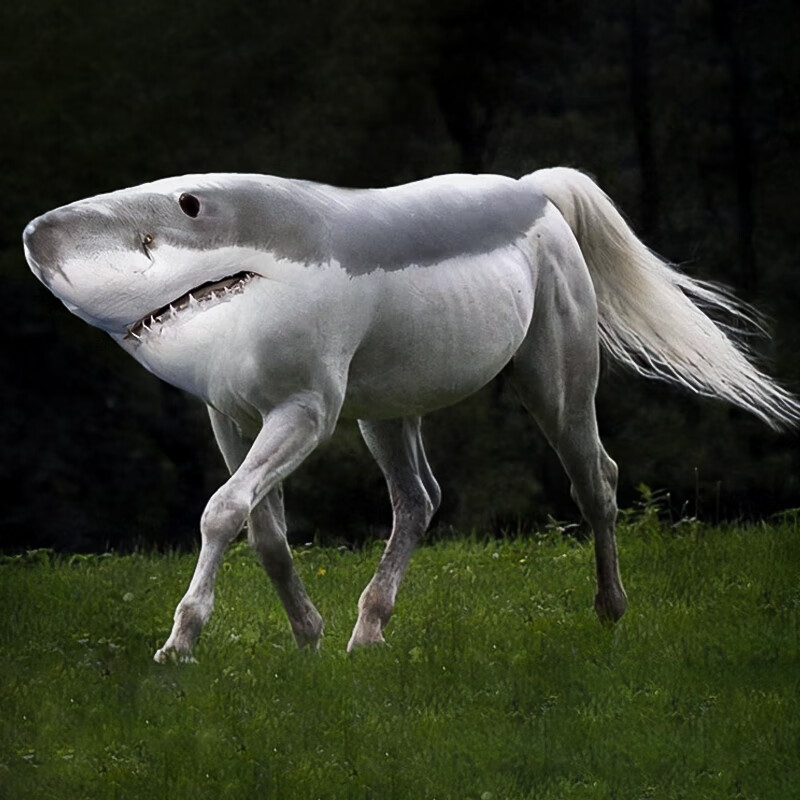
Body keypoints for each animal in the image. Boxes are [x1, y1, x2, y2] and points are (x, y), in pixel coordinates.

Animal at [23, 167, 798, 662]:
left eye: (188, 205)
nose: (38, 239)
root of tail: (534, 187)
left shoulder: (306, 410)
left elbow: (223, 510)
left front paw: (181, 642)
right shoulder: (231, 418)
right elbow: (264, 531)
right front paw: (308, 637)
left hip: (554, 382)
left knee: (595, 480)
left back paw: (610, 611)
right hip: (388, 412)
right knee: (419, 499)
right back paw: (367, 633)